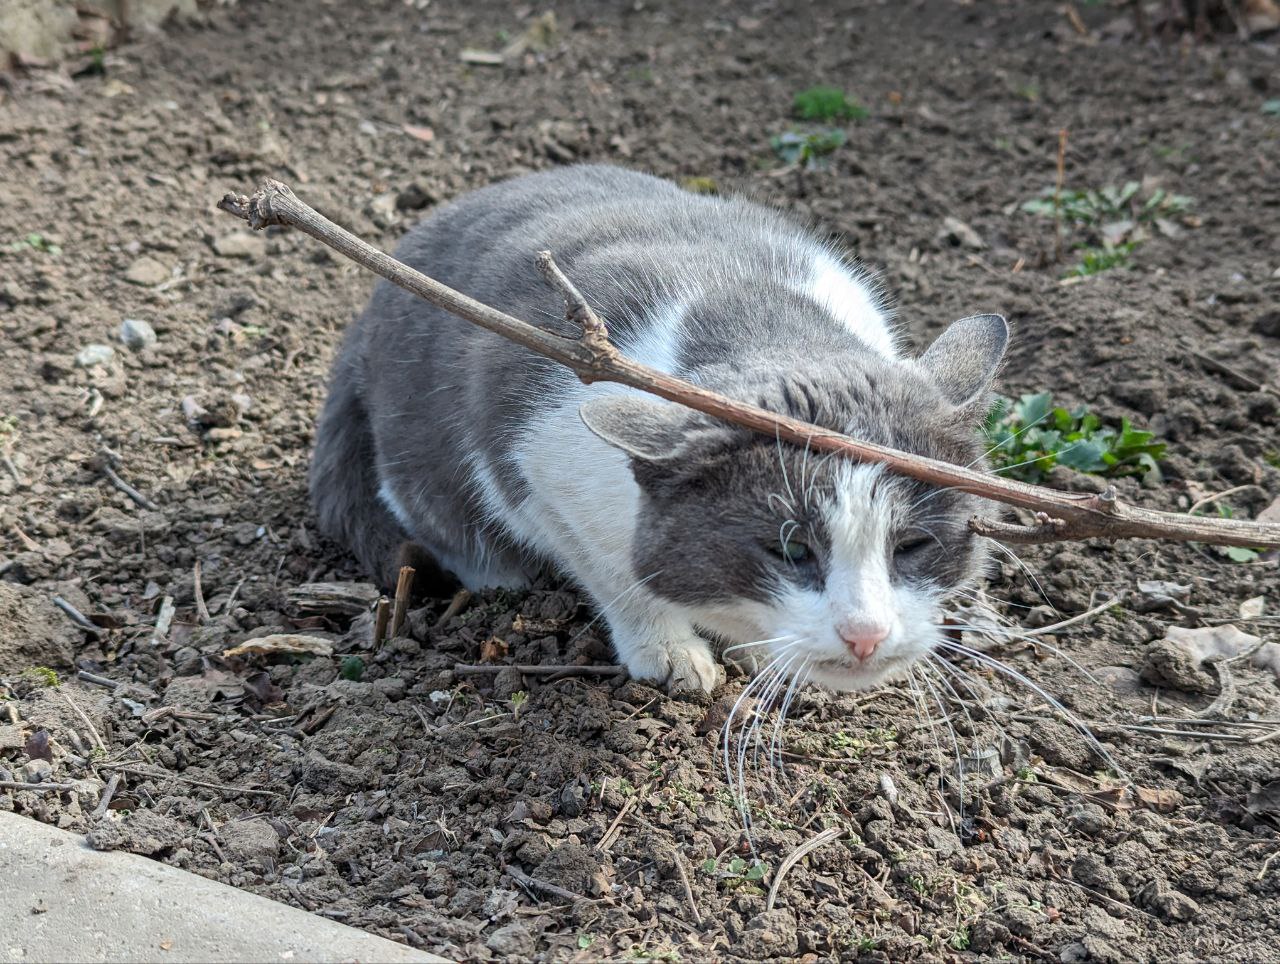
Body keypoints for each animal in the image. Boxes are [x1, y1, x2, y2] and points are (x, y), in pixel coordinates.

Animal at [312, 163, 1008, 691]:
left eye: (913, 545)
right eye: (790, 551)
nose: (866, 634)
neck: (751, 317)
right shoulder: (537, 459)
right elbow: (619, 578)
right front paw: (674, 653)